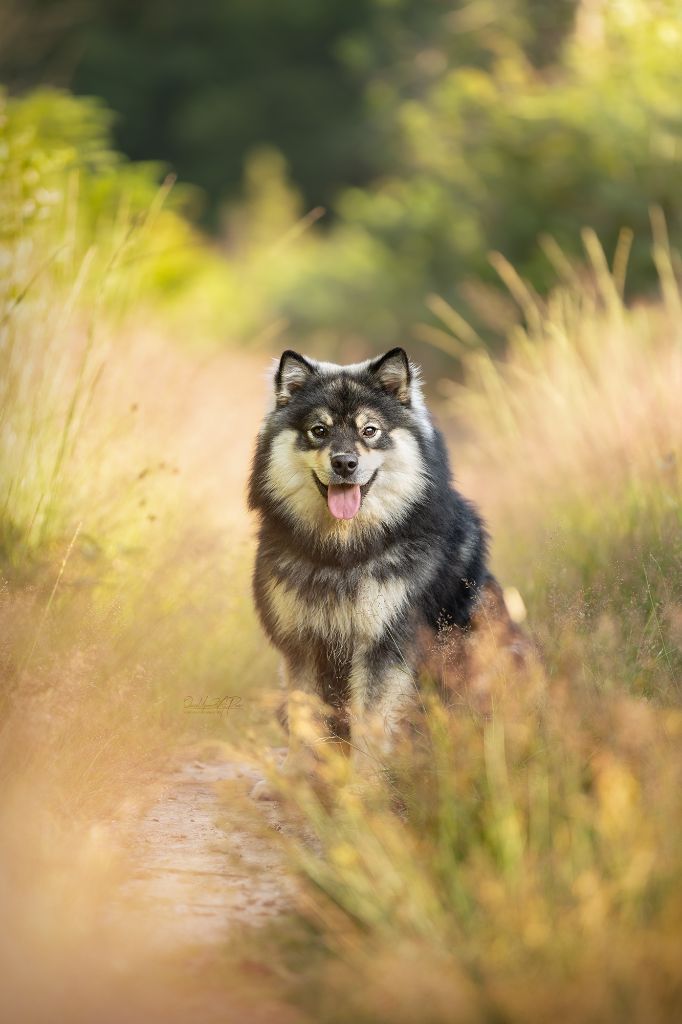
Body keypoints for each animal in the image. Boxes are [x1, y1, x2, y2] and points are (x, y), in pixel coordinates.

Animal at [245, 348, 524, 794]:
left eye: (370, 430)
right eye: (319, 430)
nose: (344, 462)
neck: (341, 555)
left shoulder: (383, 645)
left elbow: (372, 722)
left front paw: (363, 789)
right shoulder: (301, 645)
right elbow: (305, 720)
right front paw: (293, 781)